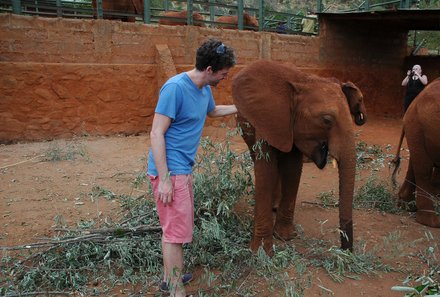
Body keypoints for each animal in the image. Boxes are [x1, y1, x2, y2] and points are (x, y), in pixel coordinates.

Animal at [234, 59, 368, 254]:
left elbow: (292, 168)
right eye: (327, 120)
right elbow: (265, 169)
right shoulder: (270, 118)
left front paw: (285, 236)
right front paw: (261, 252)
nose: (346, 249)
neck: (305, 81)